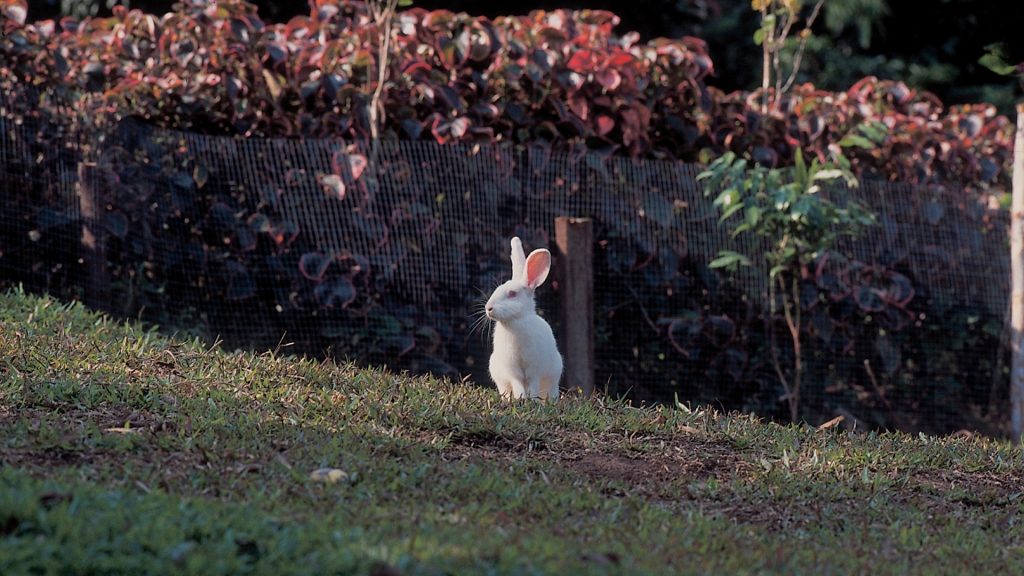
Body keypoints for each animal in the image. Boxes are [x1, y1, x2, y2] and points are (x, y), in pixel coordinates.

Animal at [485, 234, 565, 399]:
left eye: (512, 294)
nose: (488, 308)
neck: (515, 322)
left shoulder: (535, 368)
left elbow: (533, 385)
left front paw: (532, 400)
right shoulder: (512, 369)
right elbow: (517, 384)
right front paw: (520, 398)